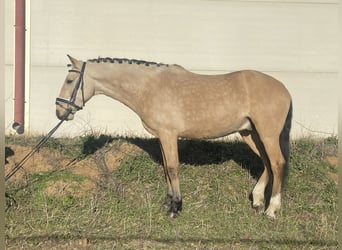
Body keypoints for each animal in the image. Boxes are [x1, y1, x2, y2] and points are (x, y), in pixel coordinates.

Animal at [56, 54, 292, 217]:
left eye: (69, 81)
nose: (59, 111)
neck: (149, 87)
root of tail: (284, 89)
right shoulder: (162, 137)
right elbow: (166, 169)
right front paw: (168, 202)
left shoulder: (169, 135)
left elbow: (172, 168)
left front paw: (175, 207)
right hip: (250, 133)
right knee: (267, 162)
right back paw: (258, 201)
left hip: (267, 135)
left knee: (277, 163)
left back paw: (271, 209)